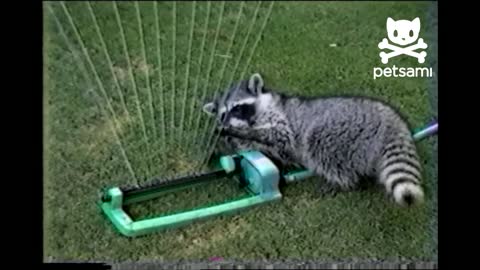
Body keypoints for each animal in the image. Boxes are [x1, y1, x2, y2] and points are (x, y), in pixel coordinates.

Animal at [202, 73, 424, 206]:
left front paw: (238, 133)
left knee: (318, 143)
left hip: (342, 128)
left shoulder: (279, 117)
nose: (229, 125)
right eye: (223, 113)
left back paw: (343, 182)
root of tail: (392, 119)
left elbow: (280, 136)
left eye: (238, 107)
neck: (254, 117)